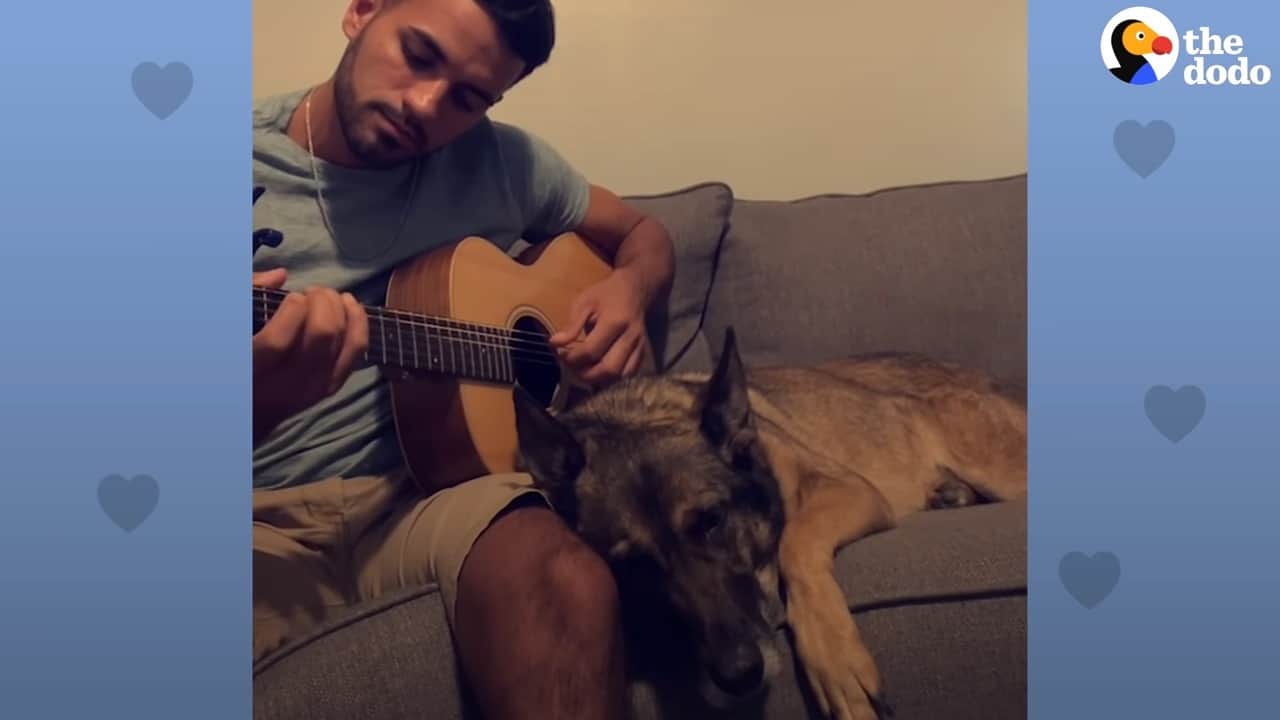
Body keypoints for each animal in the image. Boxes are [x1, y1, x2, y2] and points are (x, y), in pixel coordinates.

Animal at [514, 326, 1024, 717]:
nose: (739, 676)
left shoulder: (846, 487)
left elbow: (794, 539)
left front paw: (834, 657)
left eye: (712, 521)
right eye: (632, 563)